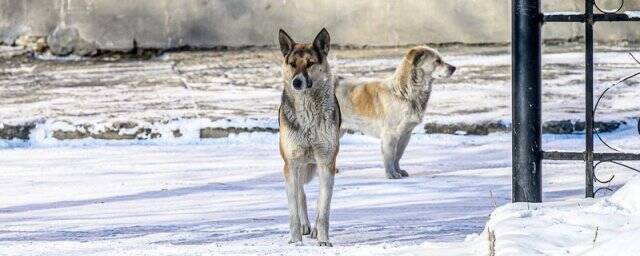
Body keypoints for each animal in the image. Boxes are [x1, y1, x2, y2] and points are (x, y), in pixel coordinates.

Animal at [278, 28, 342, 246]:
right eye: (292, 64)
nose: (297, 82)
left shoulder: (326, 163)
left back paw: (313, 229)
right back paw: (305, 227)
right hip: (296, 166)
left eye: (310, 63)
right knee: (300, 195)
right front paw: (295, 241)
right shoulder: (291, 164)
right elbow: (293, 211)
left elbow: (324, 209)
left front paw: (323, 240)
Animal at [336, 45, 456, 179]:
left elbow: (397, 156)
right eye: (437, 61)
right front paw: (391, 174)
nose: (454, 68)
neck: (404, 92)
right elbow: (389, 156)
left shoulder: (406, 134)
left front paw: (398, 171)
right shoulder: (390, 134)